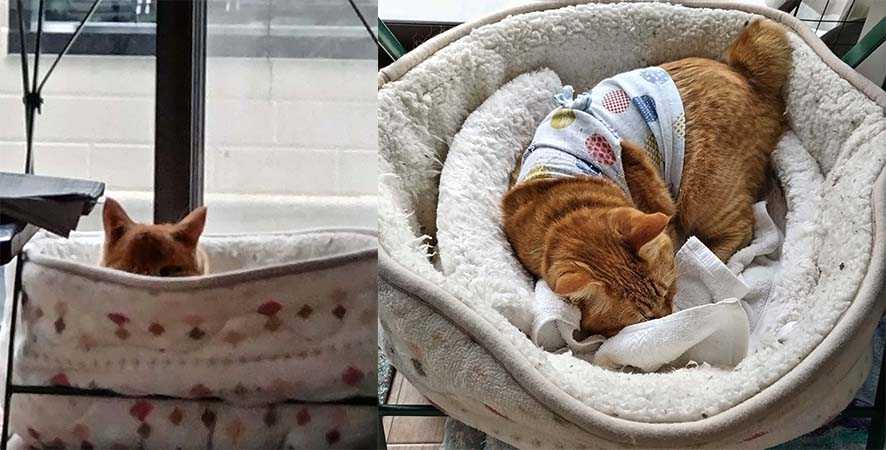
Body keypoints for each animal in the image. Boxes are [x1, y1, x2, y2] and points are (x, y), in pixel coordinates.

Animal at [502, 20, 791, 337]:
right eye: (642, 319)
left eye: (668, 289)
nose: (667, 317)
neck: (564, 200)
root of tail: (744, 74)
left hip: (701, 195)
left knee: (742, 229)